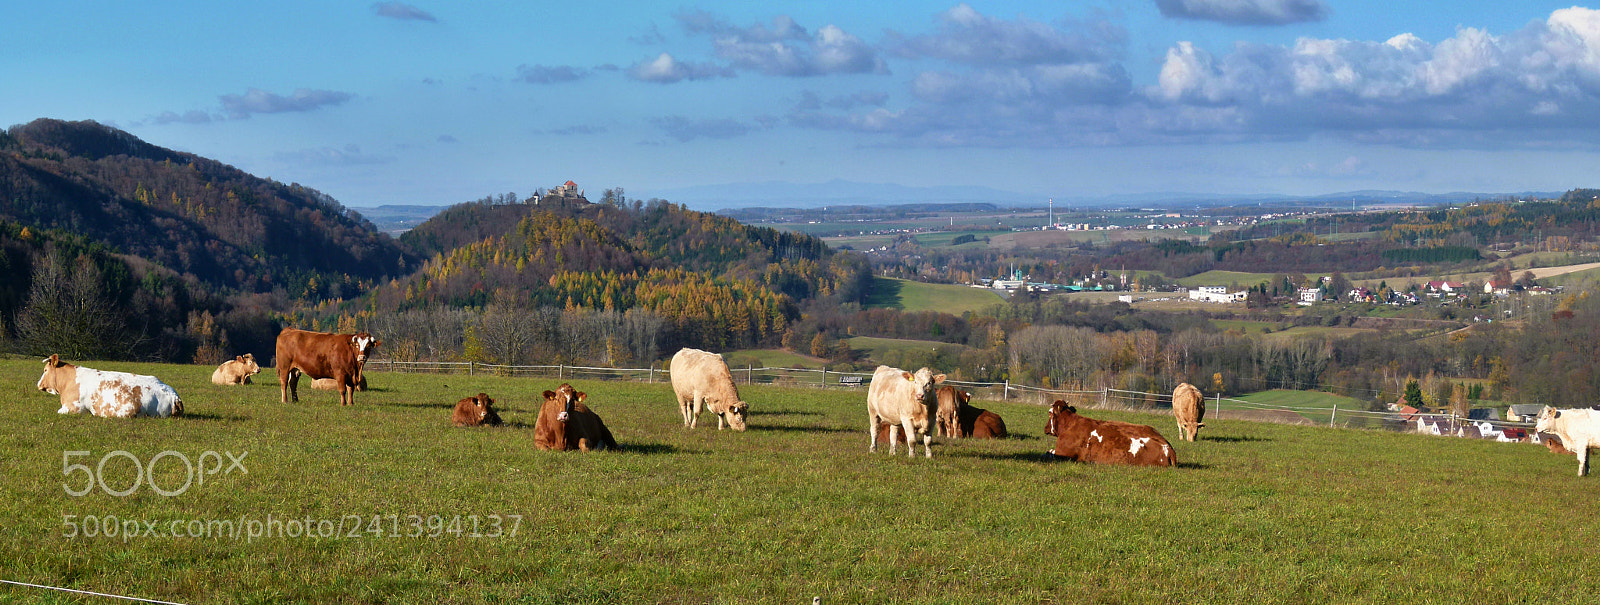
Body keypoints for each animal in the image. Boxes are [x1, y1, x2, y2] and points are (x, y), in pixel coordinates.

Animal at [1036, 401, 1177, 467]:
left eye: (1049, 413)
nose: (1045, 427)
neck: (1070, 424)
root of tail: (1169, 448)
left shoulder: (1063, 453)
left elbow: (1047, 453)